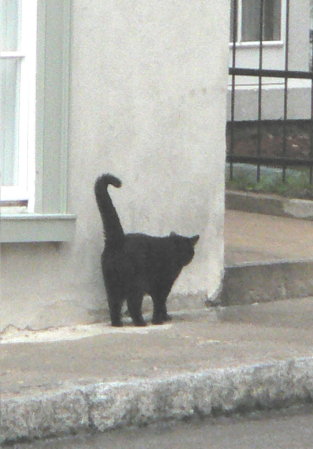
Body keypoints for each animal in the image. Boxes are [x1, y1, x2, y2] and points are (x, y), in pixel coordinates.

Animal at [94, 174, 199, 326]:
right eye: (188, 251)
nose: (188, 259)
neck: (171, 251)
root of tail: (118, 239)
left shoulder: (158, 287)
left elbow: (161, 304)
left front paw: (164, 317)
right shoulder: (163, 284)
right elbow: (160, 303)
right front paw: (158, 320)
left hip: (112, 284)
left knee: (114, 304)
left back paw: (117, 323)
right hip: (135, 285)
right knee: (132, 304)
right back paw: (140, 322)